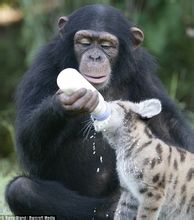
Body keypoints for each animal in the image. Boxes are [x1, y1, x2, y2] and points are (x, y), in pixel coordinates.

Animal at [5, 3, 194, 220]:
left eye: (106, 45)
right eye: (85, 42)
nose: (95, 57)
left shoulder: (142, 72)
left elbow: (168, 127)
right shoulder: (42, 67)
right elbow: (29, 147)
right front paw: (63, 102)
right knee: (21, 189)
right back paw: (110, 209)